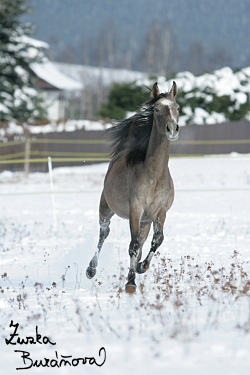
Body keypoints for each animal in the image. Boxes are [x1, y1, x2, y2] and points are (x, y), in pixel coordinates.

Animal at [86, 81, 180, 294]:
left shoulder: (159, 211)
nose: (172, 129)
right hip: (106, 209)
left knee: (144, 240)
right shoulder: (135, 210)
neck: (154, 175)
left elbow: (156, 240)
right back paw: (91, 270)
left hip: (146, 220)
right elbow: (134, 245)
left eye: (177, 107)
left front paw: (141, 267)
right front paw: (130, 283)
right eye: (156, 109)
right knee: (103, 233)